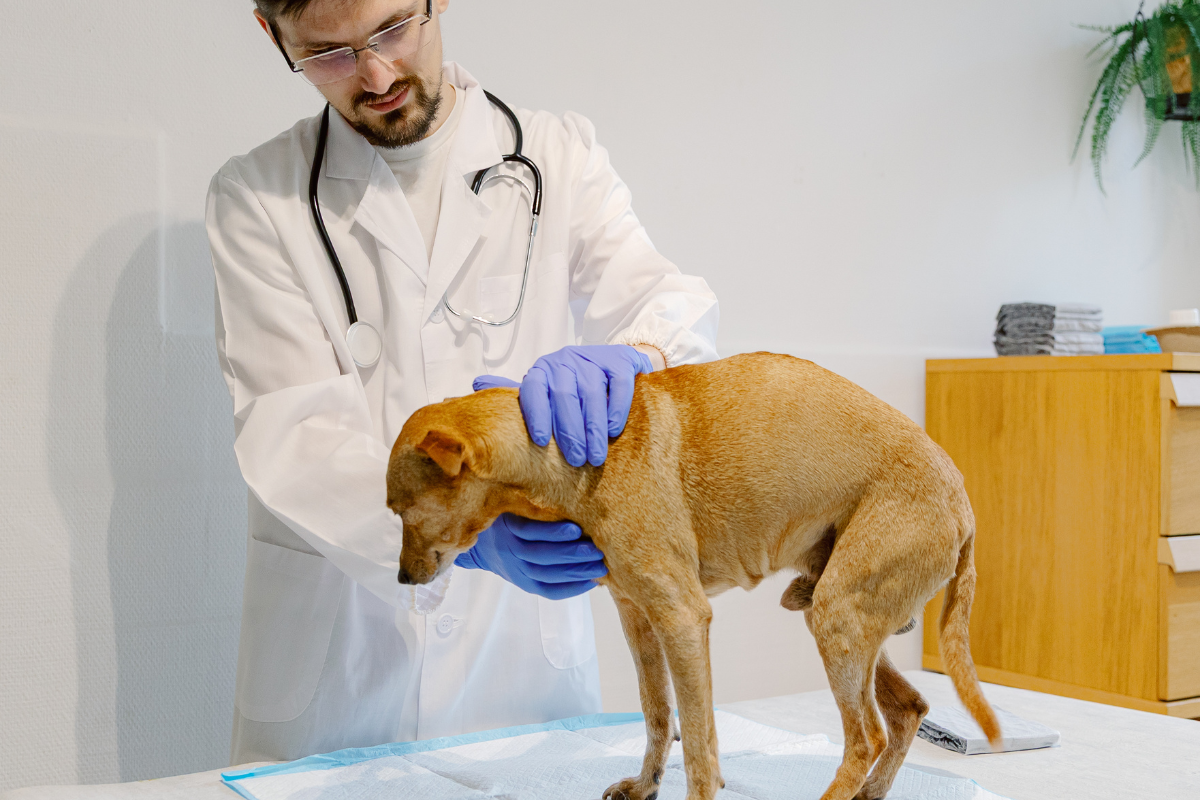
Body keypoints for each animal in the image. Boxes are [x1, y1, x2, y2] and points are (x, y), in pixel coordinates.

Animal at [386, 352, 1000, 800]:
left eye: (400, 512)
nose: (402, 579)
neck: (563, 455)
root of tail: (964, 503)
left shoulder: (683, 619)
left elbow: (700, 743)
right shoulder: (638, 617)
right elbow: (661, 714)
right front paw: (645, 785)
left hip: (841, 618)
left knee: (864, 737)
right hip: (848, 614)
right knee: (908, 709)